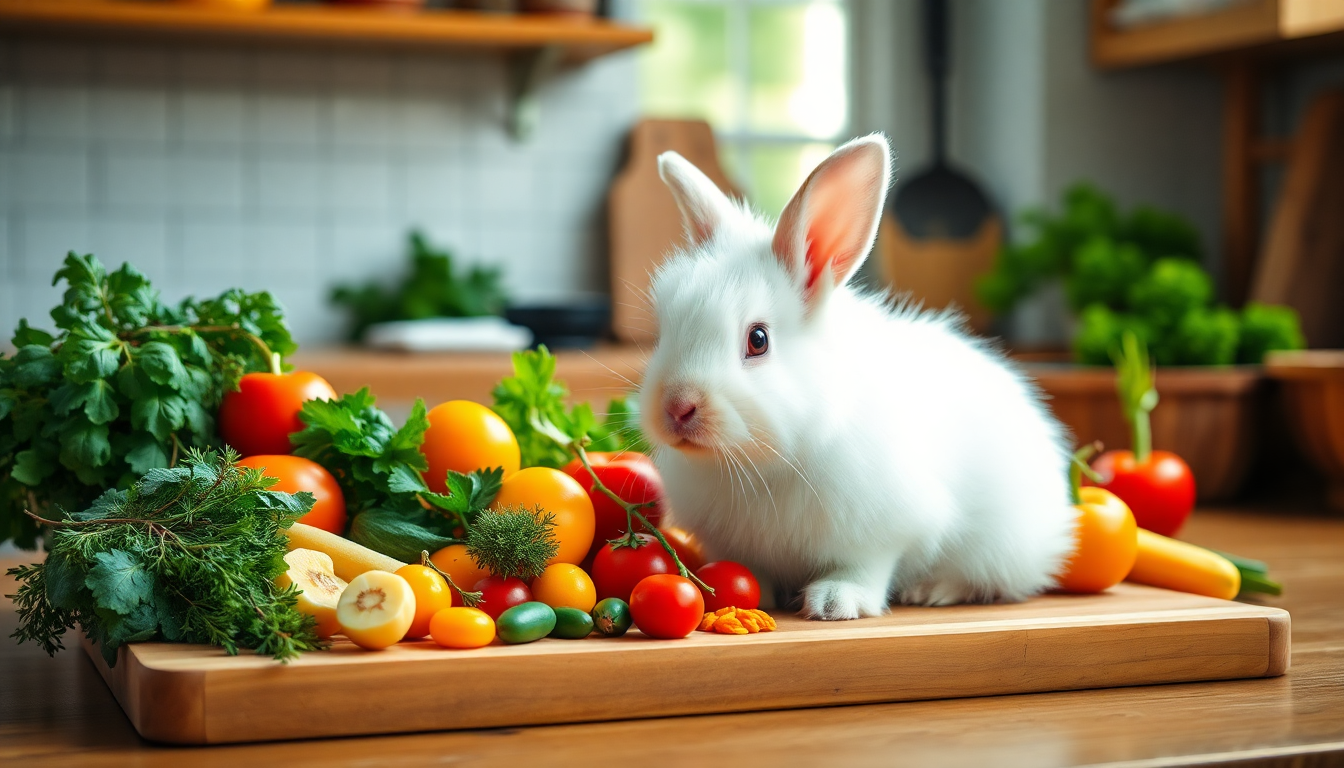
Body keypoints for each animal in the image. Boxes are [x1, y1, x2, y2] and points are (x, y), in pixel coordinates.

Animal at [637, 134, 1077, 620]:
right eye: (664, 329)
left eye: (758, 340)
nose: (676, 407)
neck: (764, 463)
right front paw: (756, 593)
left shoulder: (886, 529)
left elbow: (864, 566)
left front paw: (834, 602)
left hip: (1001, 548)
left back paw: (931, 590)